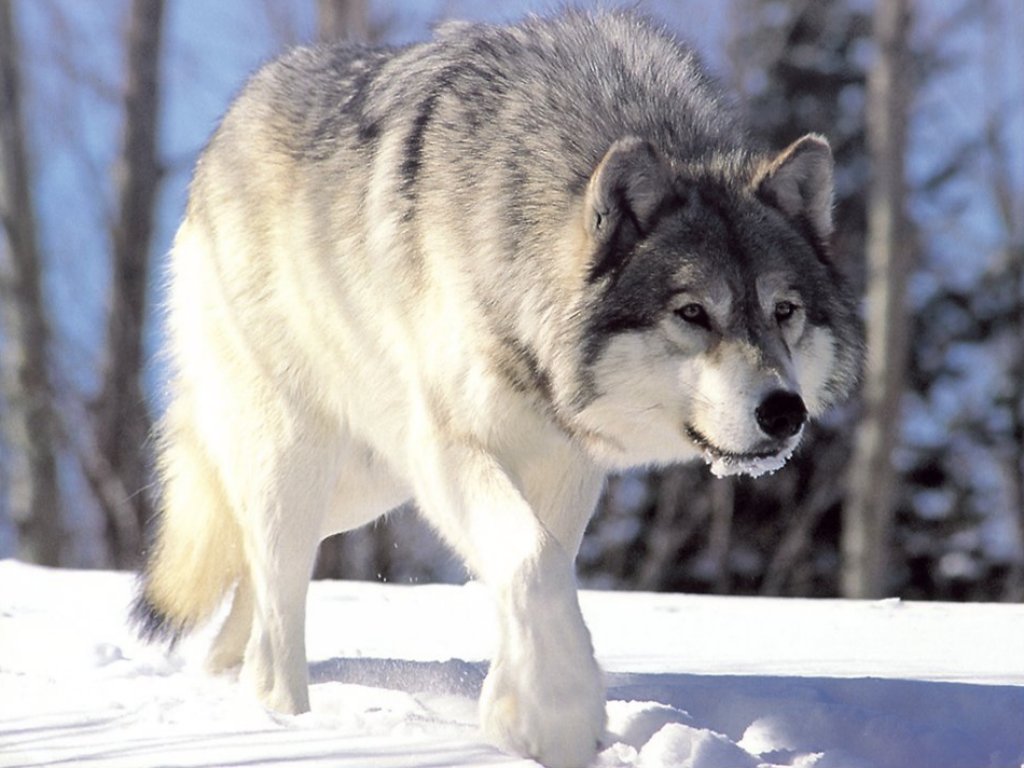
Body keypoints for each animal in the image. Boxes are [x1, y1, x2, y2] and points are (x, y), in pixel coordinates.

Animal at [133, 10, 862, 768]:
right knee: (274, 607)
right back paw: (285, 720)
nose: (785, 412)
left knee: (249, 574)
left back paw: (223, 678)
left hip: (364, 487)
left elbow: (542, 567)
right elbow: (533, 560)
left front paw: (518, 708)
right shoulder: (449, 446)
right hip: (302, 460)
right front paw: (557, 716)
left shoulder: (566, 461)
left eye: (784, 311)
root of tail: (228, 126)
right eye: (693, 313)